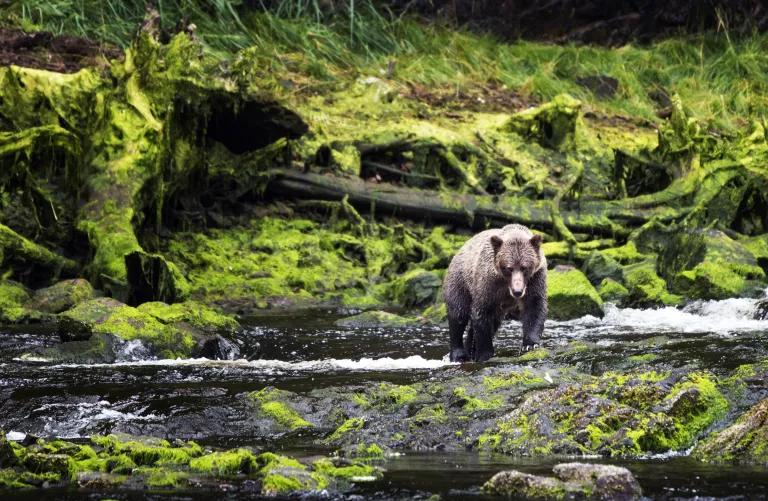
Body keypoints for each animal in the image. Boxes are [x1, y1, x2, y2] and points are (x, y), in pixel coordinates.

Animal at [444, 225, 544, 362]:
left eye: (524, 267)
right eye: (509, 268)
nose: (517, 291)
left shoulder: (535, 278)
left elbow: (534, 307)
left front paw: (530, 345)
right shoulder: (488, 283)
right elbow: (481, 312)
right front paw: (485, 354)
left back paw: (470, 350)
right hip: (460, 282)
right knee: (458, 314)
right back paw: (459, 354)